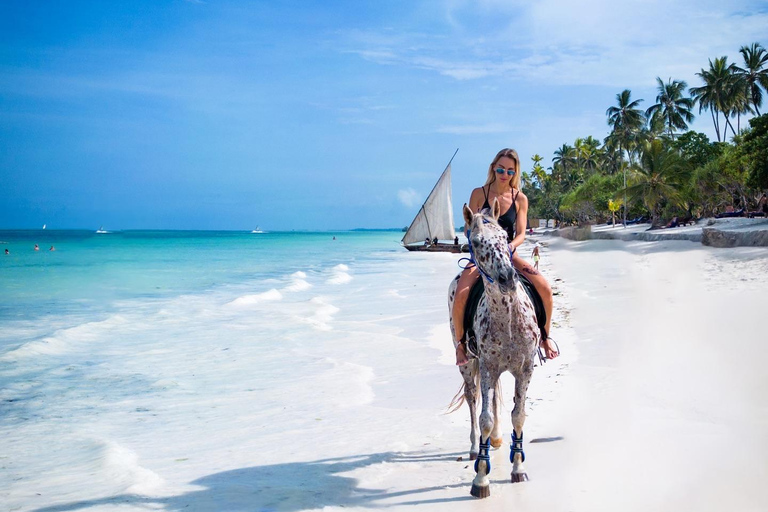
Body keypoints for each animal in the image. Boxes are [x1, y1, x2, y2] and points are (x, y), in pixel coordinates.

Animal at [448, 199, 536, 496]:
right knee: (473, 399)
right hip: (469, 365)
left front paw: (518, 469)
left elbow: (518, 416)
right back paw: (476, 447)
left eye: (505, 238)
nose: (508, 278)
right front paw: (481, 479)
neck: (508, 319)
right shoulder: (486, 366)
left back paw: (496, 439)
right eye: (475, 241)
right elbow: (484, 417)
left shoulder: (525, 368)